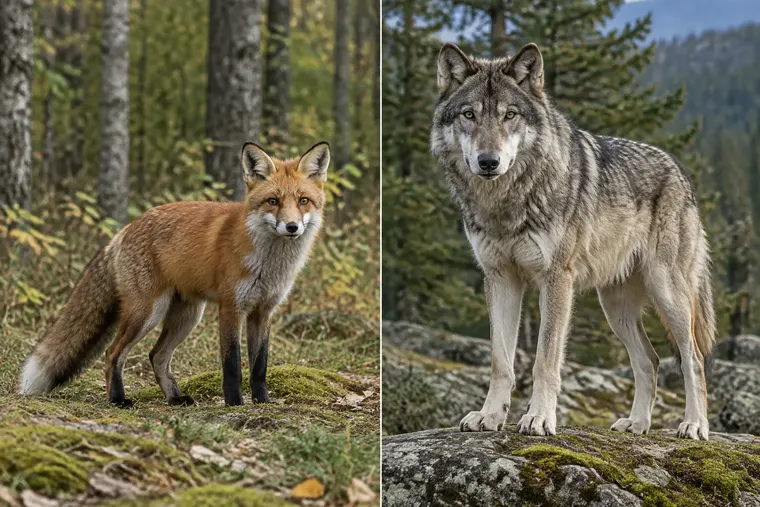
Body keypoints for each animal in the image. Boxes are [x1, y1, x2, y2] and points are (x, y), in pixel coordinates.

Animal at [19, 142, 330, 408]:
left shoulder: (263, 311)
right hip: (147, 313)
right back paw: (118, 399)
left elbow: (259, 366)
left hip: (187, 317)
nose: (292, 227)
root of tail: (126, 229)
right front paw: (234, 403)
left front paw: (262, 402)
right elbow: (232, 364)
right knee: (113, 354)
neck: (270, 264)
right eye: (273, 201)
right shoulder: (232, 307)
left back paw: (175, 398)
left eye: (303, 201)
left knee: (156, 356)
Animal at [430, 42, 715, 440]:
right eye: (469, 115)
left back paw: (694, 425)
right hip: (616, 308)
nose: (489, 162)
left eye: (509, 115)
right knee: (650, 360)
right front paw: (489, 416)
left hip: (668, 294)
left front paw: (538, 418)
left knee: (693, 358)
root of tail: (680, 171)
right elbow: (501, 362)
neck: (506, 202)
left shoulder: (556, 280)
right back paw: (637, 424)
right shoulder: (500, 278)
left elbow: (545, 360)